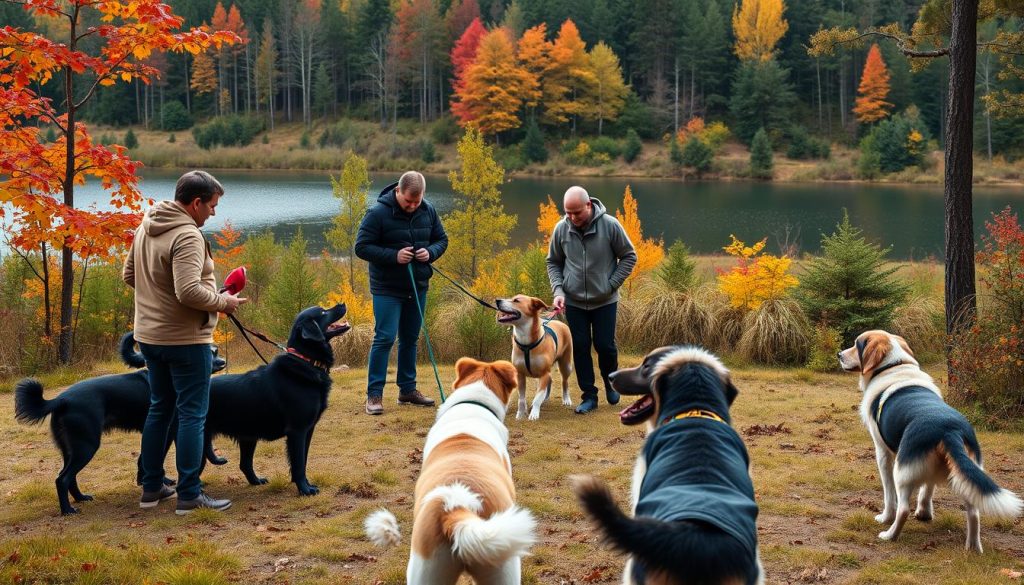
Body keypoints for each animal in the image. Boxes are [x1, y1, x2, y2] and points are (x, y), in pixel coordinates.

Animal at [14, 336, 226, 514]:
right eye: (211, 353)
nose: (223, 362)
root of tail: (61, 400)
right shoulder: (168, 431)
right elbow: (156, 459)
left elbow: (145, 458)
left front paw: (147, 483)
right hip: (86, 446)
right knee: (62, 479)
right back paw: (67, 510)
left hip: (70, 449)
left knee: (68, 476)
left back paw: (80, 498)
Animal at [197, 305, 350, 495]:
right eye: (322, 312)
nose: (342, 304)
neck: (306, 361)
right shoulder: (297, 431)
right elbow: (299, 463)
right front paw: (305, 489)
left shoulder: (308, 429)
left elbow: (303, 460)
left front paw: (304, 485)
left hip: (248, 437)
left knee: (244, 464)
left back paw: (256, 480)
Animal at [843, 331, 1019, 553]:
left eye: (856, 345)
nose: (839, 355)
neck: (893, 366)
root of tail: (950, 430)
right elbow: (927, 489)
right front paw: (924, 513)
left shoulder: (882, 453)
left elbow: (889, 496)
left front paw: (885, 517)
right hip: (967, 475)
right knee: (974, 513)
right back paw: (973, 548)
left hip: (901, 472)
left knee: (902, 509)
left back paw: (889, 535)